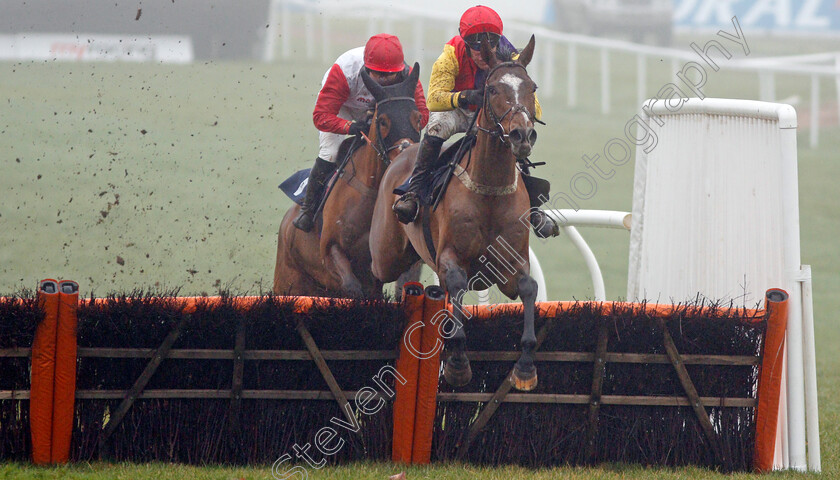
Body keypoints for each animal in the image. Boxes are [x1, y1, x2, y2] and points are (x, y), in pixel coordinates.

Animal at [272, 63, 424, 296]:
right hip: (288, 282)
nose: (407, 160)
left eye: (417, 118)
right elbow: (352, 288)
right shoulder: (330, 251)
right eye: (382, 121)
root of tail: (287, 223)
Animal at [370, 36, 540, 390]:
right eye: (492, 89)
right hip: (386, 252)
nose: (521, 135)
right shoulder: (450, 256)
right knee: (374, 273)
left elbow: (529, 287)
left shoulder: (512, 263)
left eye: (531, 87)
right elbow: (459, 283)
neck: (489, 191)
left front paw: (525, 367)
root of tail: (404, 151)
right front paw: (458, 362)